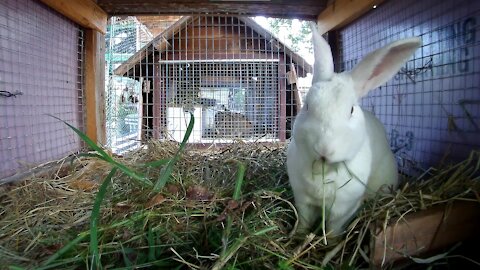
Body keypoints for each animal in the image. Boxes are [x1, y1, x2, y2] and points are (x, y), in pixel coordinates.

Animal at [286, 22, 422, 234]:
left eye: (350, 110)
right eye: (307, 106)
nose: (324, 149)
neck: (325, 171)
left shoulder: (344, 208)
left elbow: (334, 229)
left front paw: (331, 240)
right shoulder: (302, 200)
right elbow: (304, 221)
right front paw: (296, 236)